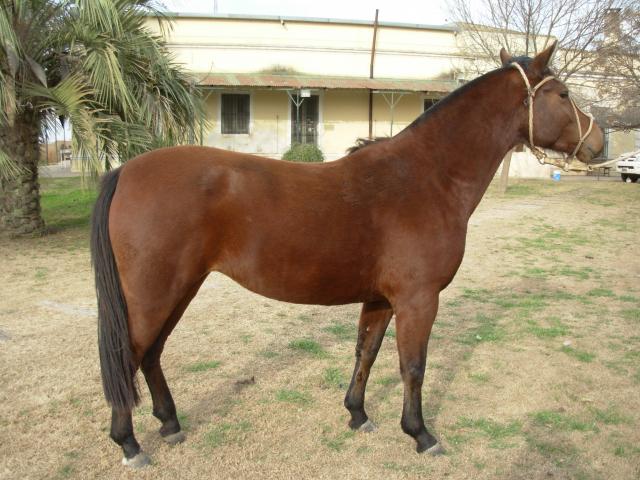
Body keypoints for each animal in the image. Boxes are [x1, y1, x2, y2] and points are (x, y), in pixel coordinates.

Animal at [90, 43, 604, 467]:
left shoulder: (380, 299)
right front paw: (421, 435)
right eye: (562, 93)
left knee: (152, 352)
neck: (426, 176)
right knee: (129, 354)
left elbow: (367, 353)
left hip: (180, 288)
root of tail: (125, 171)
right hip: (154, 293)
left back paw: (170, 424)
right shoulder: (418, 300)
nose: (602, 141)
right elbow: (412, 366)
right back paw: (130, 445)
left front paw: (357, 415)